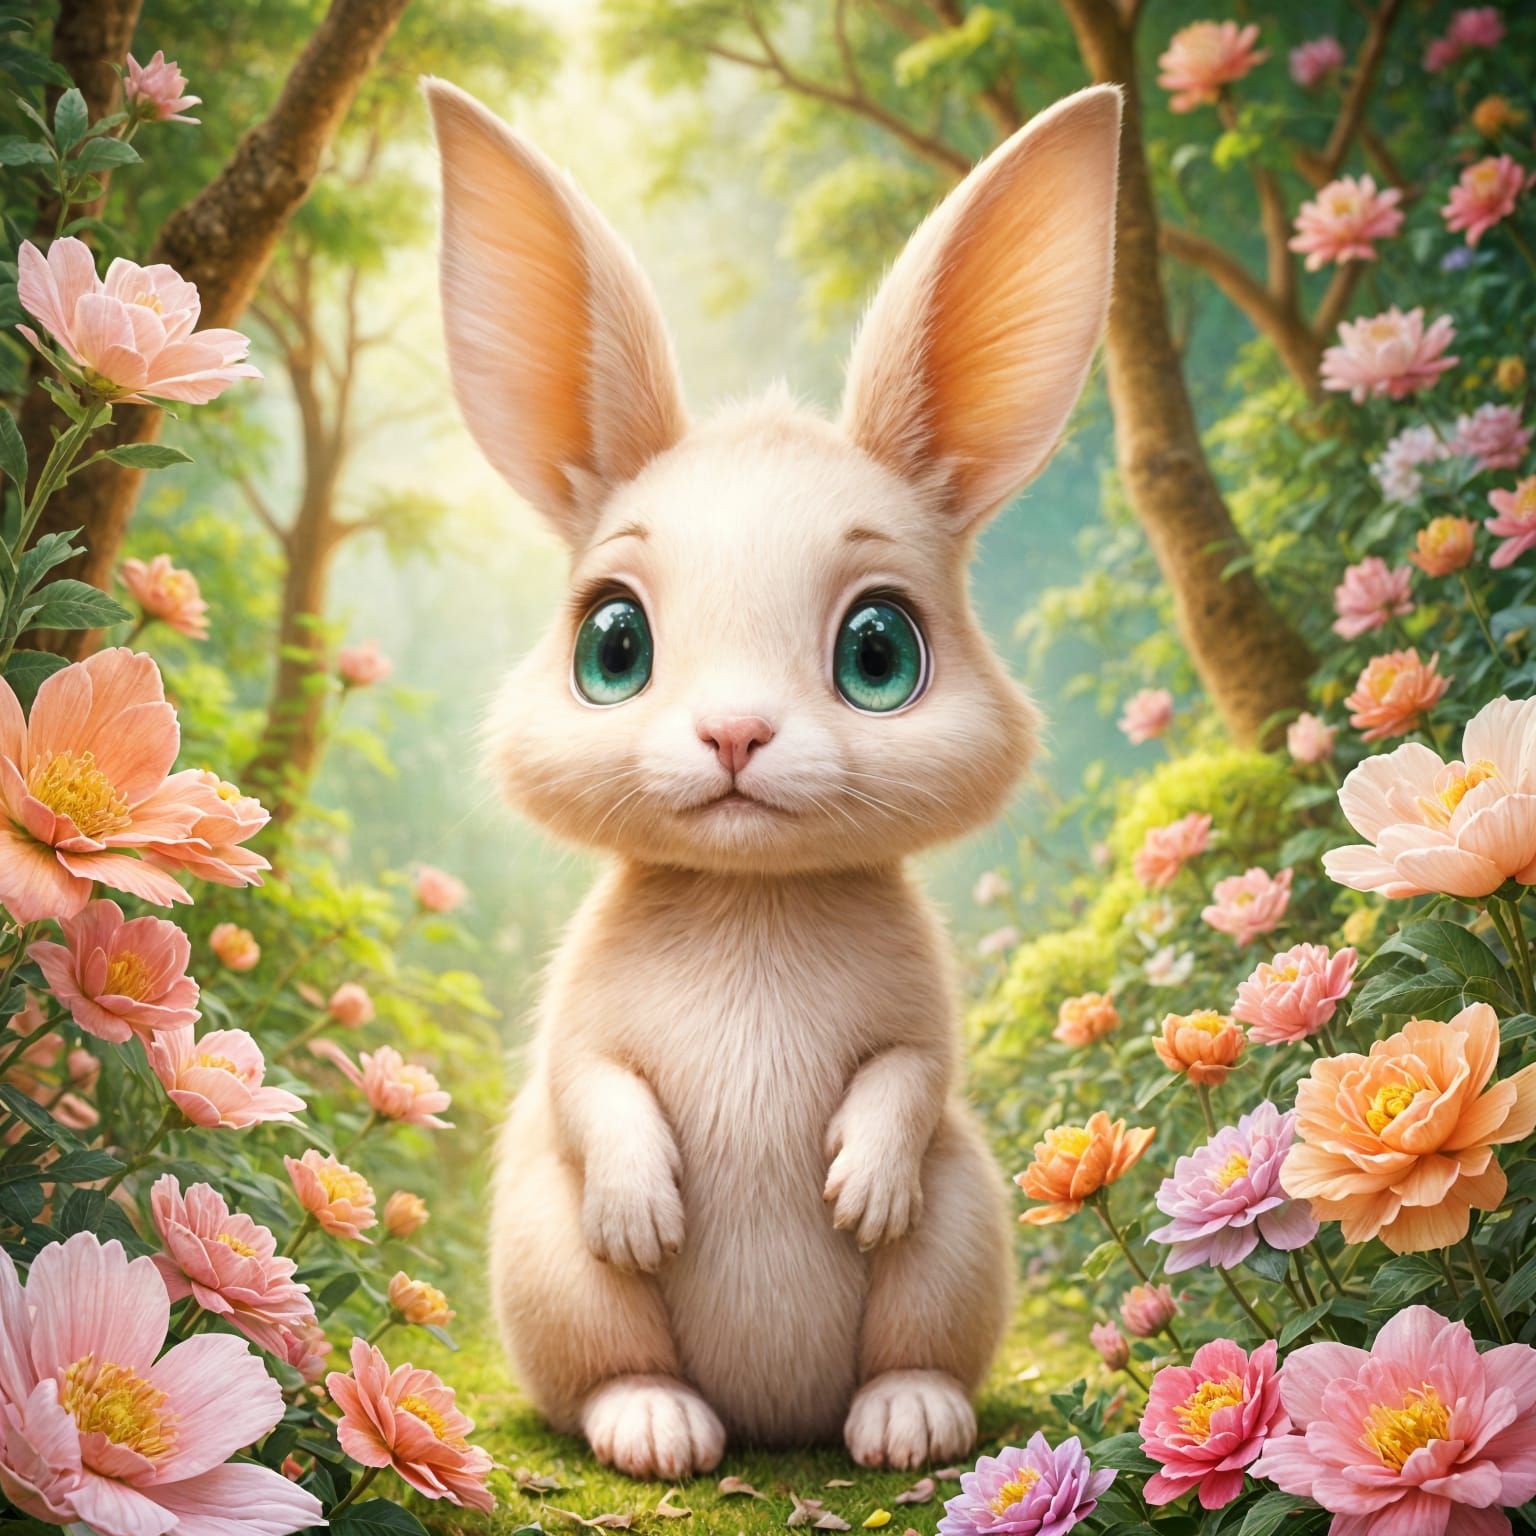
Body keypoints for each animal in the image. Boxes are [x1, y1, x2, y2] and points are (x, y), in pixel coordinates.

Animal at [424, 76, 1122, 1480]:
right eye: (612, 645)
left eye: (880, 652)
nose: (736, 735)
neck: (753, 895)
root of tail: (773, 1417)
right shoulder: (579, 1027)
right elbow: (592, 1088)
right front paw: (644, 1209)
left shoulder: (925, 1024)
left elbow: (913, 1074)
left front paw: (859, 1185)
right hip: (550, 1265)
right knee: (610, 1367)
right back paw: (657, 1429)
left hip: (961, 1235)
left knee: (913, 1339)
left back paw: (907, 1423)